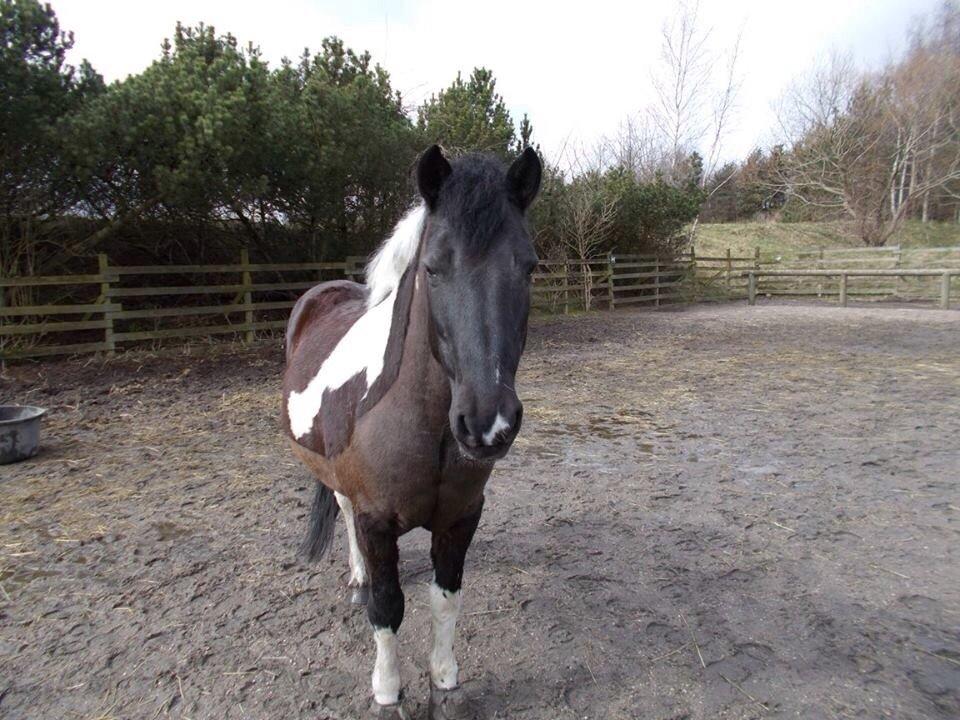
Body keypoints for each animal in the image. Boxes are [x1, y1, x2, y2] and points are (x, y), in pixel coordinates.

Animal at [281, 145, 542, 719]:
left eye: (530, 267)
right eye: (432, 267)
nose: (487, 421)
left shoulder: (462, 518)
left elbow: (446, 599)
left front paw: (445, 681)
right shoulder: (376, 522)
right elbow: (387, 606)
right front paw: (387, 690)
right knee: (343, 509)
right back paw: (357, 577)